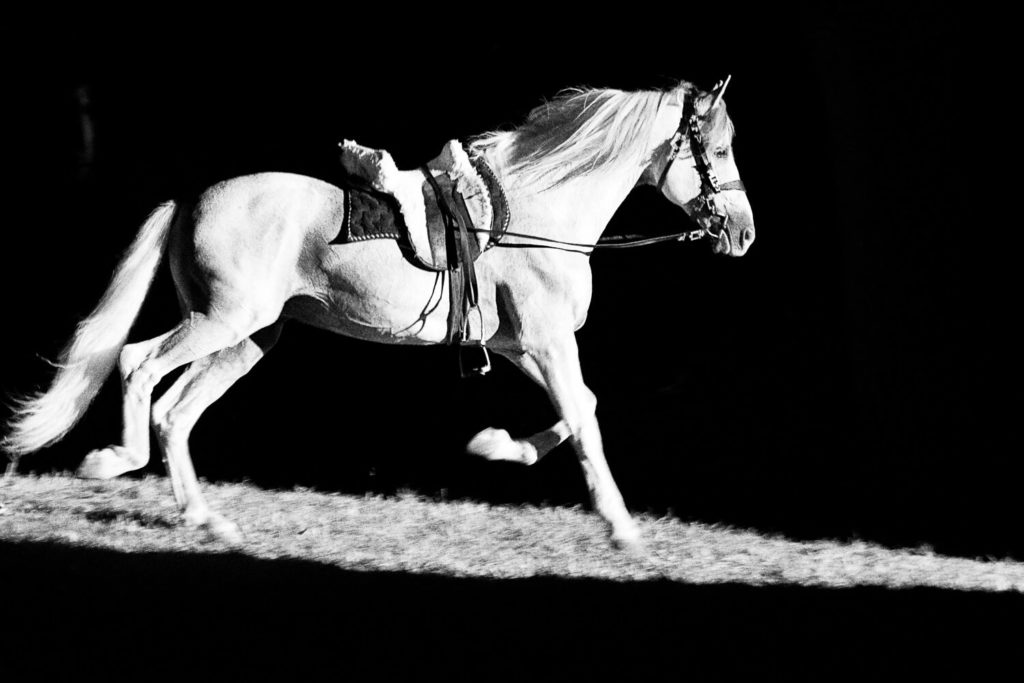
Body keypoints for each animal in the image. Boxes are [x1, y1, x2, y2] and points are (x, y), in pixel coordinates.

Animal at [2, 77, 754, 550]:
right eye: (715, 150)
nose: (744, 234)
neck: (540, 213)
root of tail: (192, 199)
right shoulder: (545, 343)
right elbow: (586, 422)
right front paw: (623, 530)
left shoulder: (524, 346)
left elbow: (581, 411)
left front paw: (494, 445)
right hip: (223, 321)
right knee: (138, 366)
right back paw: (113, 461)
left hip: (249, 338)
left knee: (176, 412)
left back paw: (207, 521)